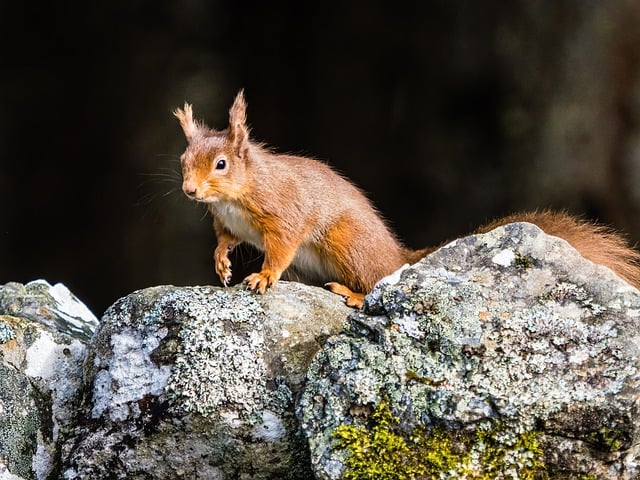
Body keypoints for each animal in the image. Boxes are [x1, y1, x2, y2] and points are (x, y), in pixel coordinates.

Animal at [174, 90, 640, 308]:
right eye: (182, 160)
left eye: (221, 164)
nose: (189, 191)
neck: (237, 195)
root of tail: (399, 257)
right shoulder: (228, 221)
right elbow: (225, 239)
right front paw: (221, 261)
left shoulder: (284, 212)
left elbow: (282, 246)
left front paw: (264, 276)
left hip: (347, 243)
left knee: (376, 279)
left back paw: (355, 295)